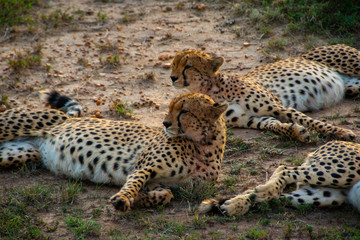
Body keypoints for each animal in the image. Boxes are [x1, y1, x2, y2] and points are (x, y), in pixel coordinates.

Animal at [0, 91, 228, 211]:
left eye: (184, 111)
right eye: (170, 107)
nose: (165, 123)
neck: (203, 147)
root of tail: (65, 116)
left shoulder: (166, 184)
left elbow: (166, 195)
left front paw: (139, 200)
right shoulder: (142, 168)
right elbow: (133, 184)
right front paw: (124, 199)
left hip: (21, 153)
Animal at [169, 44, 358, 142]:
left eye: (188, 66)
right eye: (173, 64)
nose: (172, 77)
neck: (212, 90)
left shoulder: (279, 107)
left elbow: (312, 121)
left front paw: (340, 132)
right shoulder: (251, 119)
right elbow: (273, 125)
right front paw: (296, 132)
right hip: (352, 86)